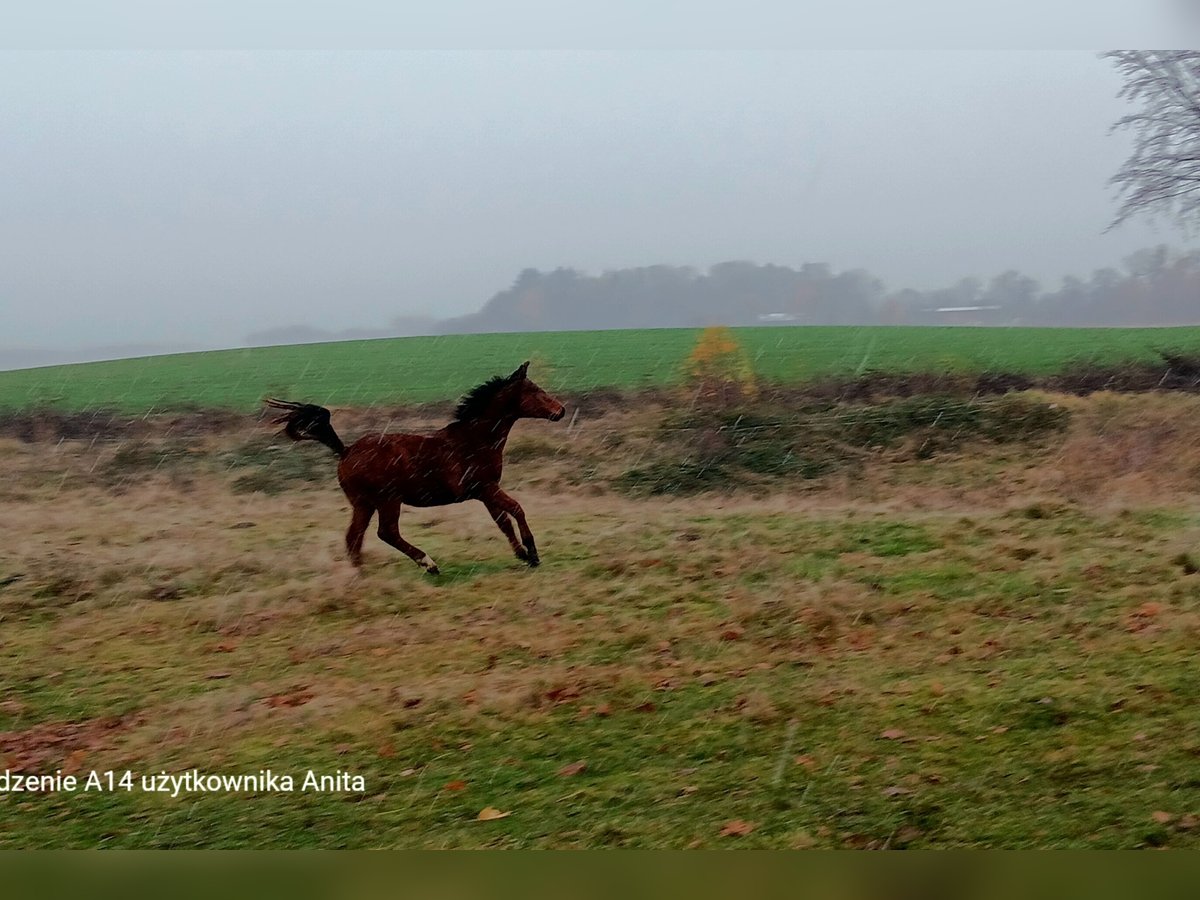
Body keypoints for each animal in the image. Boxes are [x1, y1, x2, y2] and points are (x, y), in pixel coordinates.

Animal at [265, 362, 564, 573]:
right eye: (536, 391)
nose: (560, 411)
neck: (474, 440)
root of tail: (346, 450)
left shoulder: (485, 491)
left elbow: (503, 521)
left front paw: (522, 555)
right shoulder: (484, 487)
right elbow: (517, 509)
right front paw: (533, 553)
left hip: (364, 504)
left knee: (353, 537)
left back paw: (359, 576)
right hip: (387, 500)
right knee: (386, 532)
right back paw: (428, 564)